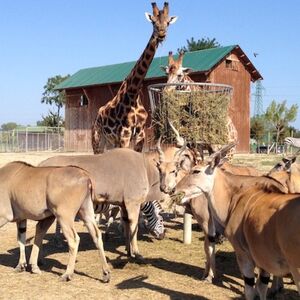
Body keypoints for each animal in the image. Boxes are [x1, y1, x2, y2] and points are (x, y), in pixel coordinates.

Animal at [91, 1, 178, 154]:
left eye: (168, 22)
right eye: (153, 22)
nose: (161, 34)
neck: (133, 93)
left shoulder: (140, 134)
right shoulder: (124, 133)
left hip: (110, 142)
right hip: (97, 139)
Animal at [172, 144, 300, 298]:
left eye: (196, 171)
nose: (174, 190)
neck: (234, 198)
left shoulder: (243, 254)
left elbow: (250, 289)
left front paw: (209, 276)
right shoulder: (262, 258)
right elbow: (261, 286)